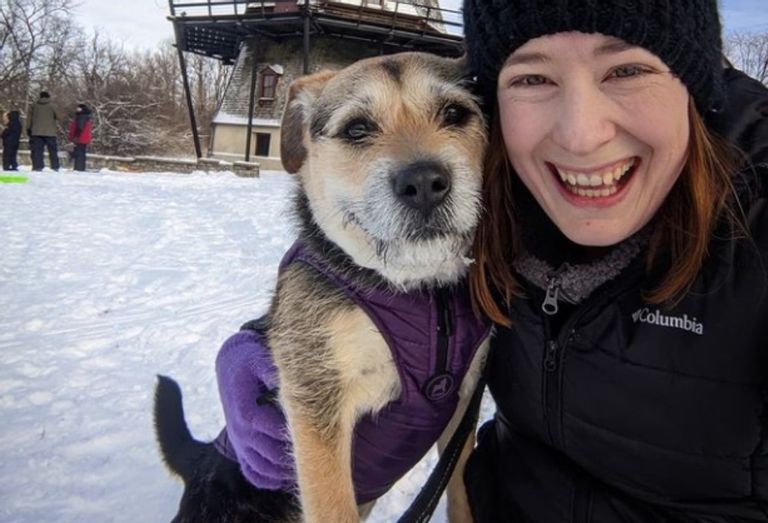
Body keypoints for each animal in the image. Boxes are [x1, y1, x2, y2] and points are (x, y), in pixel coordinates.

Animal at [155, 53, 488, 523]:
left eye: (456, 113)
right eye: (357, 128)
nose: (424, 182)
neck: (419, 294)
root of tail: (199, 460)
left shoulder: (463, 402)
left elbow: (459, 489)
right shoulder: (318, 405)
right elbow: (331, 504)